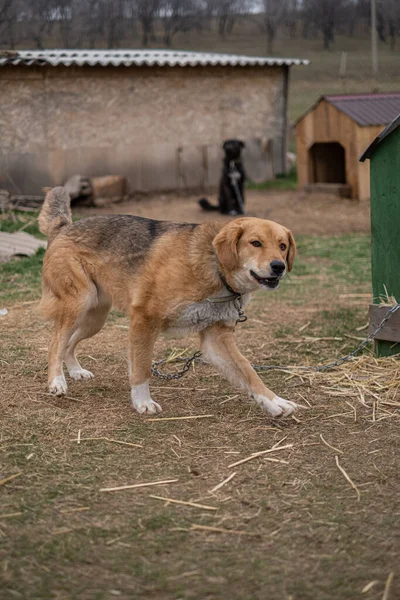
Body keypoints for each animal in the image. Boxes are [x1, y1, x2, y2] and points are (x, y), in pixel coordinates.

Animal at [39, 188, 296, 418]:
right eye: (255, 243)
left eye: (282, 246)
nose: (279, 266)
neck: (215, 268)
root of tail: (64, 227)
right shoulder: (144, 320)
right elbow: (142, 367)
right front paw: (142, 402)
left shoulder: (216, 339)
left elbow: (248, 370)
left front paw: (274, 401)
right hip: (79, 305)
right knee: (55, 343)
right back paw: (57, 381)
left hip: (95, 319)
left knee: (68, 344)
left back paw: (75, 371)